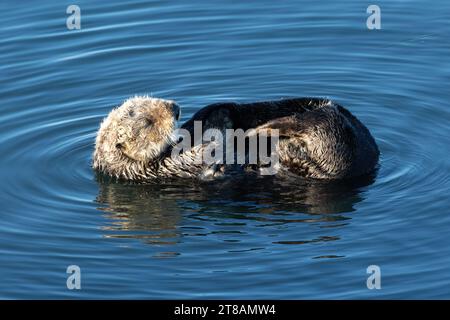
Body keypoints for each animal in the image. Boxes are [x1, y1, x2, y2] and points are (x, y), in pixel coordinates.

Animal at [92, 95, 380, 180]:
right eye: (147, 122)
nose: (174, 107)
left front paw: (214, 121)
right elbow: (209, 153)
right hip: (333, 142)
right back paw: (259, 134)